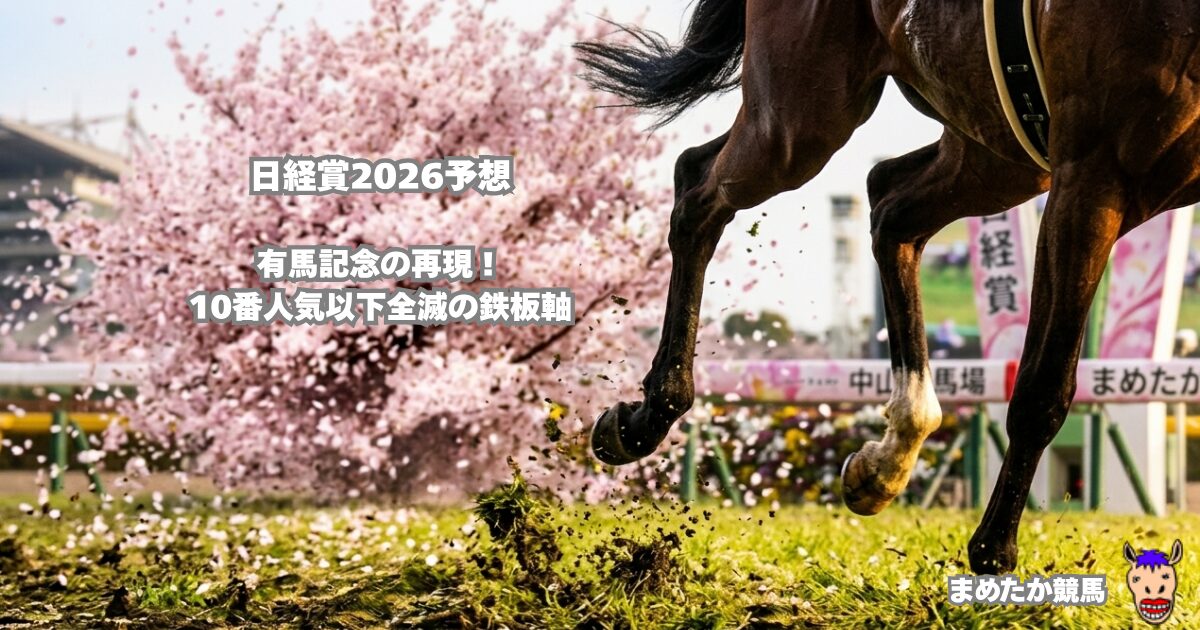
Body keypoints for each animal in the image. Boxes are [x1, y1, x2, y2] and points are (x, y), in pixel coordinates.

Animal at [574, 0, 1200, 574]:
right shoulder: (1094, 174)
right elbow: (1043, 387)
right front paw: (993, 551)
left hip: (997, 147)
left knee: (889, 202)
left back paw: (888, 458)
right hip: (802, 118)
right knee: (700, 190)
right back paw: (648, 416)